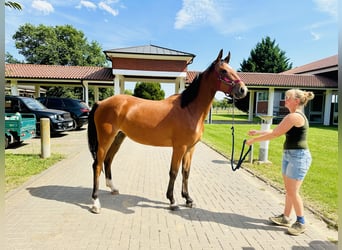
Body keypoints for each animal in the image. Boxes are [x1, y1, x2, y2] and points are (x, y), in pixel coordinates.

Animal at [87, 49, 247, 214]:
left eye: (233, 70)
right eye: (223, 71)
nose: (243, 90)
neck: (189, 109)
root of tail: (101, 103)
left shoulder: (190, 148)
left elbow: (185, 172)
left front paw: (188, 199)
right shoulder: (179, 147)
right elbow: (174, 172)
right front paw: (172, 201)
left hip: (118, 138)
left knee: (108, 160)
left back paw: (113, 188)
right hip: (105, 140)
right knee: (97, 165)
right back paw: (95, 203)